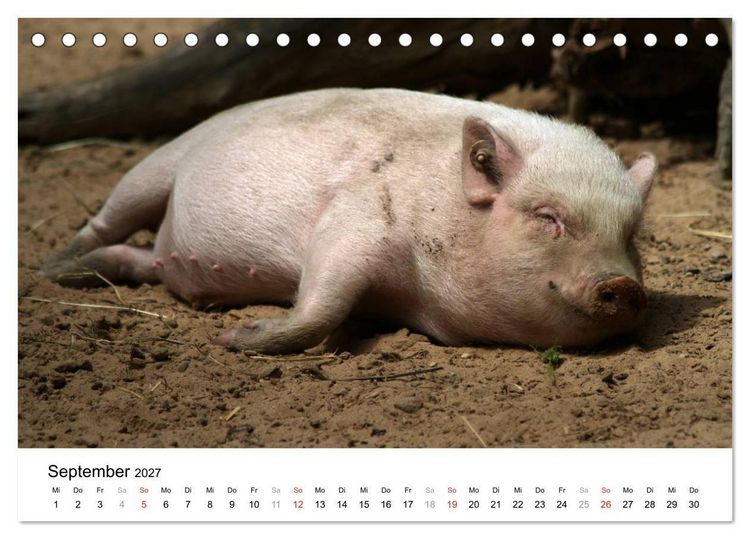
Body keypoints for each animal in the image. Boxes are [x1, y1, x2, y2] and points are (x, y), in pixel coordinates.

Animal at [40, 88, 656, 354]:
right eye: (548, 217)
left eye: (631, 236)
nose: (623, 284)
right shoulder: (356, 216)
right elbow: (324, 302)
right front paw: (238, 339)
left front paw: (237, 334)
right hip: (156, 165)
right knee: (105, 221)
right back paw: (52, 271)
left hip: (161, 248)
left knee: (143, 260)